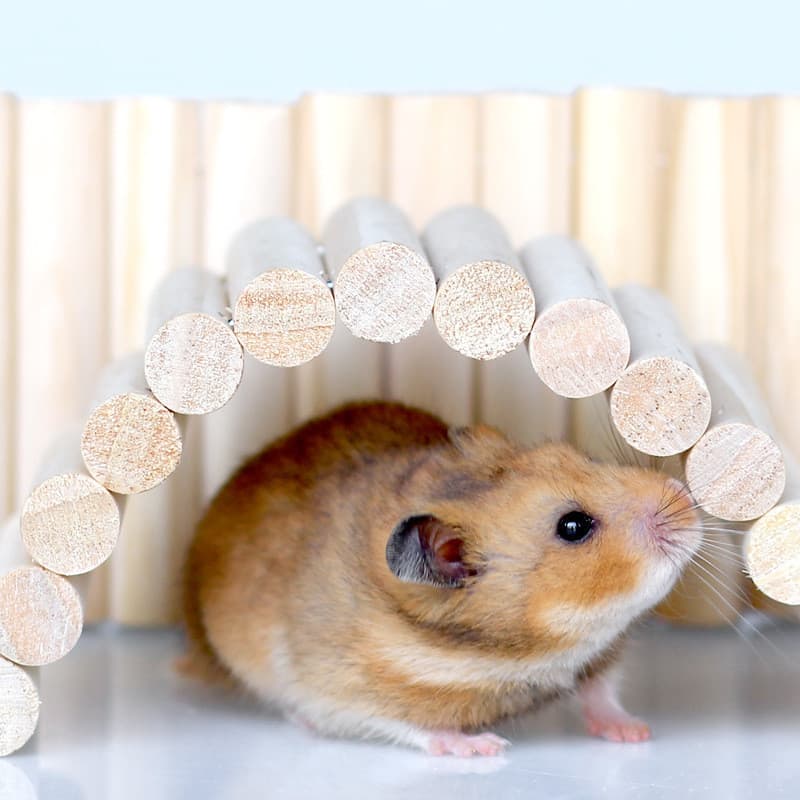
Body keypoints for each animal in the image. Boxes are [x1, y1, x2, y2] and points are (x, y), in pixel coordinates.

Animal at [181, 401, 700, 757]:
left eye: (580, 457)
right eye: (573, 526)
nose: (686, 498)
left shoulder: (597, 656)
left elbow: (601, 691)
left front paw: (635, 732)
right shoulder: (344, 688)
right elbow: (414, 724)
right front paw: (485, 747)